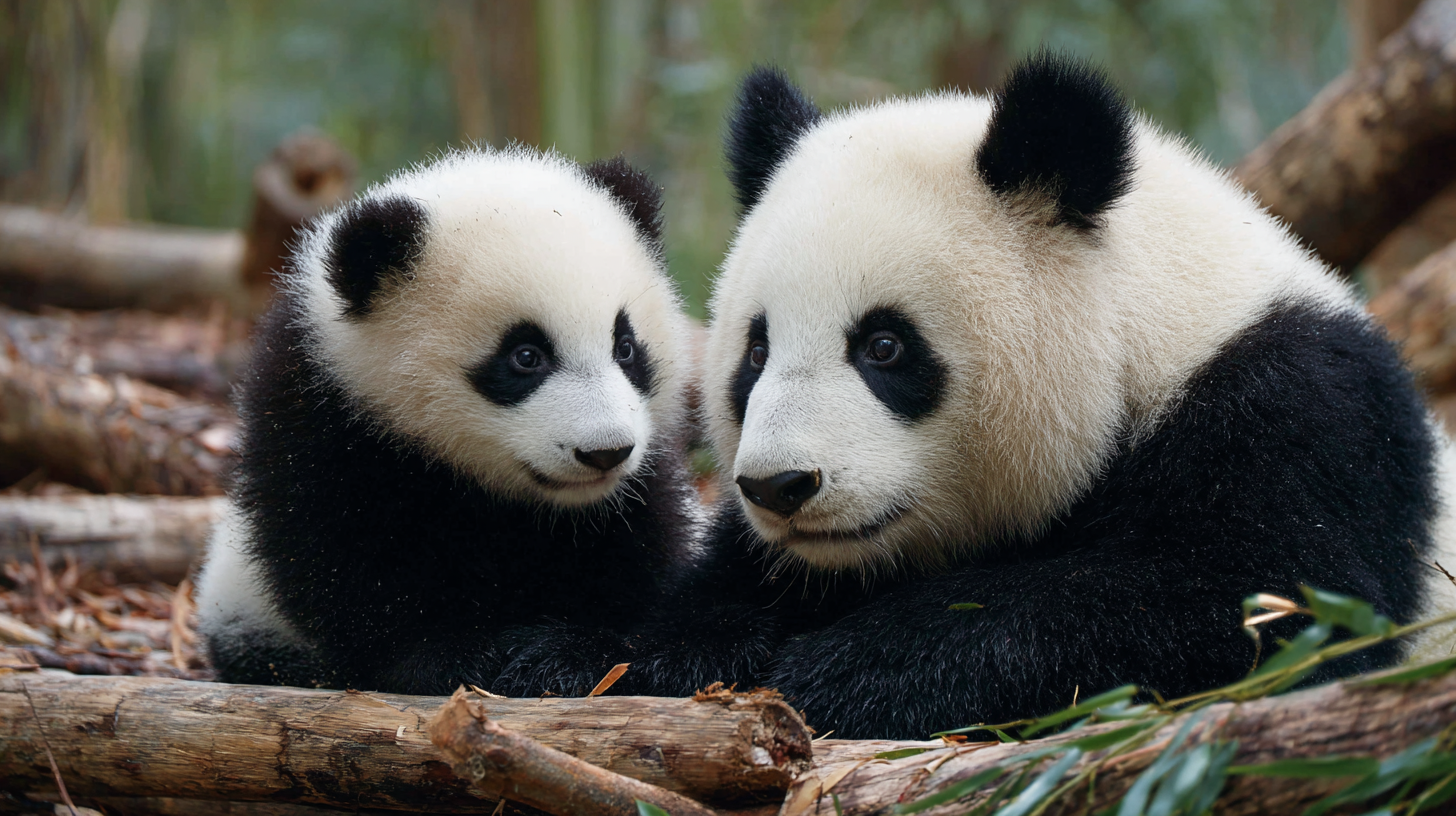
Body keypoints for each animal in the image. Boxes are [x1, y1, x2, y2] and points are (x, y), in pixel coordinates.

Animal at [194, 147, 701, 695]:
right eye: (525, 357)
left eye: (625, 348)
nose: (605, 452)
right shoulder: (323, 414)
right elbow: (342, 556)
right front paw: (454, 657)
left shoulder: (638, 481)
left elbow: (639, 556)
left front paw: (566, 657)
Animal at [492, 54, 1456, 739]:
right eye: (755, 352)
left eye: (885, 346)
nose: (781, 488)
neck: (1153, 335)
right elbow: (687, 614)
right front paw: (576, 662)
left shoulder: (1305, 420)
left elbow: (1244, 609)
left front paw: (844, 673)